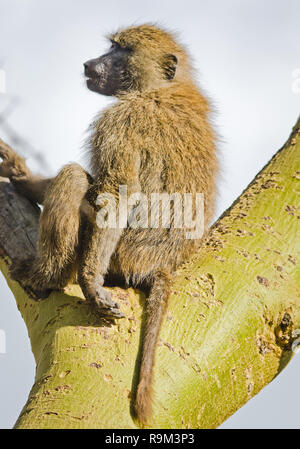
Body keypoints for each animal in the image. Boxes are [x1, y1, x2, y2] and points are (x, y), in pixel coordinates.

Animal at [0, 24, 218, 424]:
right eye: (110, 48)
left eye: (121, 51)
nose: (89, 64)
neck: (159, 88)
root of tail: (160, 264)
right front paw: (22, 176)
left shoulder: (120, 121)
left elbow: (116, 192)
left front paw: (90, 284)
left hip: (120, 256)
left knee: (74, 177)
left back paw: (45, 276)